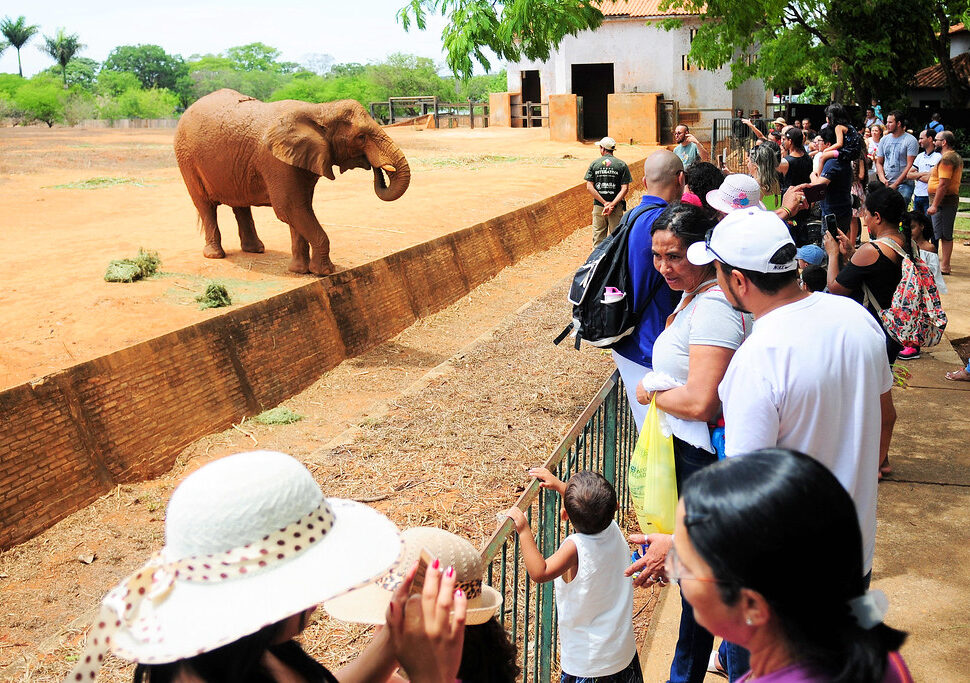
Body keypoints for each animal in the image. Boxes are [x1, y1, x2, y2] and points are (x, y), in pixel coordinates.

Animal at [174, 89, 408, 276]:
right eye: (361, 137)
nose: (377, 168)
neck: (320, 110)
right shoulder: (277, 162)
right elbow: (290, 208)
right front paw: (324, 272)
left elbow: (300, 210)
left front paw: (299, 271)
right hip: (186, 158)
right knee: (205, 205)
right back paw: (215, 255)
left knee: (240, 204)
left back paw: (255, 250)